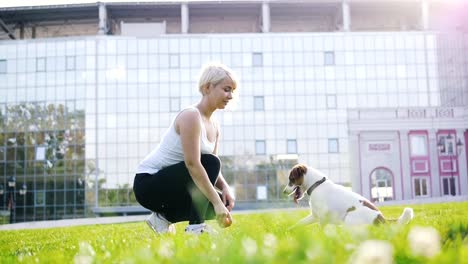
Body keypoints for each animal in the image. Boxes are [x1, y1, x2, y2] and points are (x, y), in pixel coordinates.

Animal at [282, 164, 414, 226]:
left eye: (291, 179)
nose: (283, 191)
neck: (317, 184)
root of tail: (381, 219)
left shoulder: (323, 218)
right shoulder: (314, 216)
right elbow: (298, 224)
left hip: (349, 218)